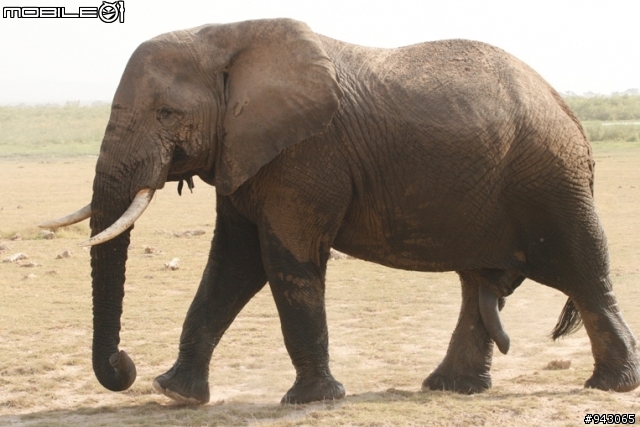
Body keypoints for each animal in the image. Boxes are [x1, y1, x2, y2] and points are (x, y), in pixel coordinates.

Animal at [42, 17, 636, 404]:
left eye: (167, 113)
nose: (123, 366)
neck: (226, 37)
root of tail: (567, 109)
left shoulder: (307, 157)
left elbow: (284, 262)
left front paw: (313, 400)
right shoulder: (246, 152)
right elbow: (231, 267)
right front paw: (176, 395)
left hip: (552, 182)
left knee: (585, 273)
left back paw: (609, 386)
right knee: (478, 287)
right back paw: (450, 388)